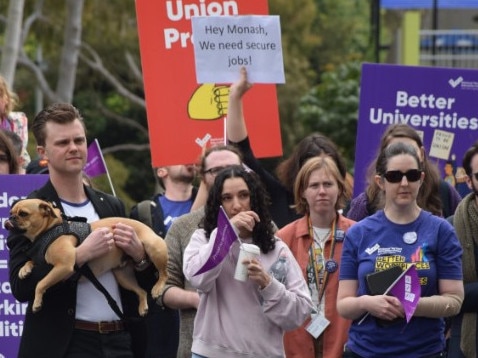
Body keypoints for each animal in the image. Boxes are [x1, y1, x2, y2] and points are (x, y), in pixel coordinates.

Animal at [6, 199, 168, 316]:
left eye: (23, 214)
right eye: (11, 212)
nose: (10, 217)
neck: (49, 229)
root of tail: (148, 227)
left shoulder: (64, 265)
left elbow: (40, 283)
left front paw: (37, 302)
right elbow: (32, 261)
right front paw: (24, 269)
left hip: (154, 248)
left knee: (164, 273)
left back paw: (158, 288)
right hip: (124, 277)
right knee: (141, 291)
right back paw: (143, 307)